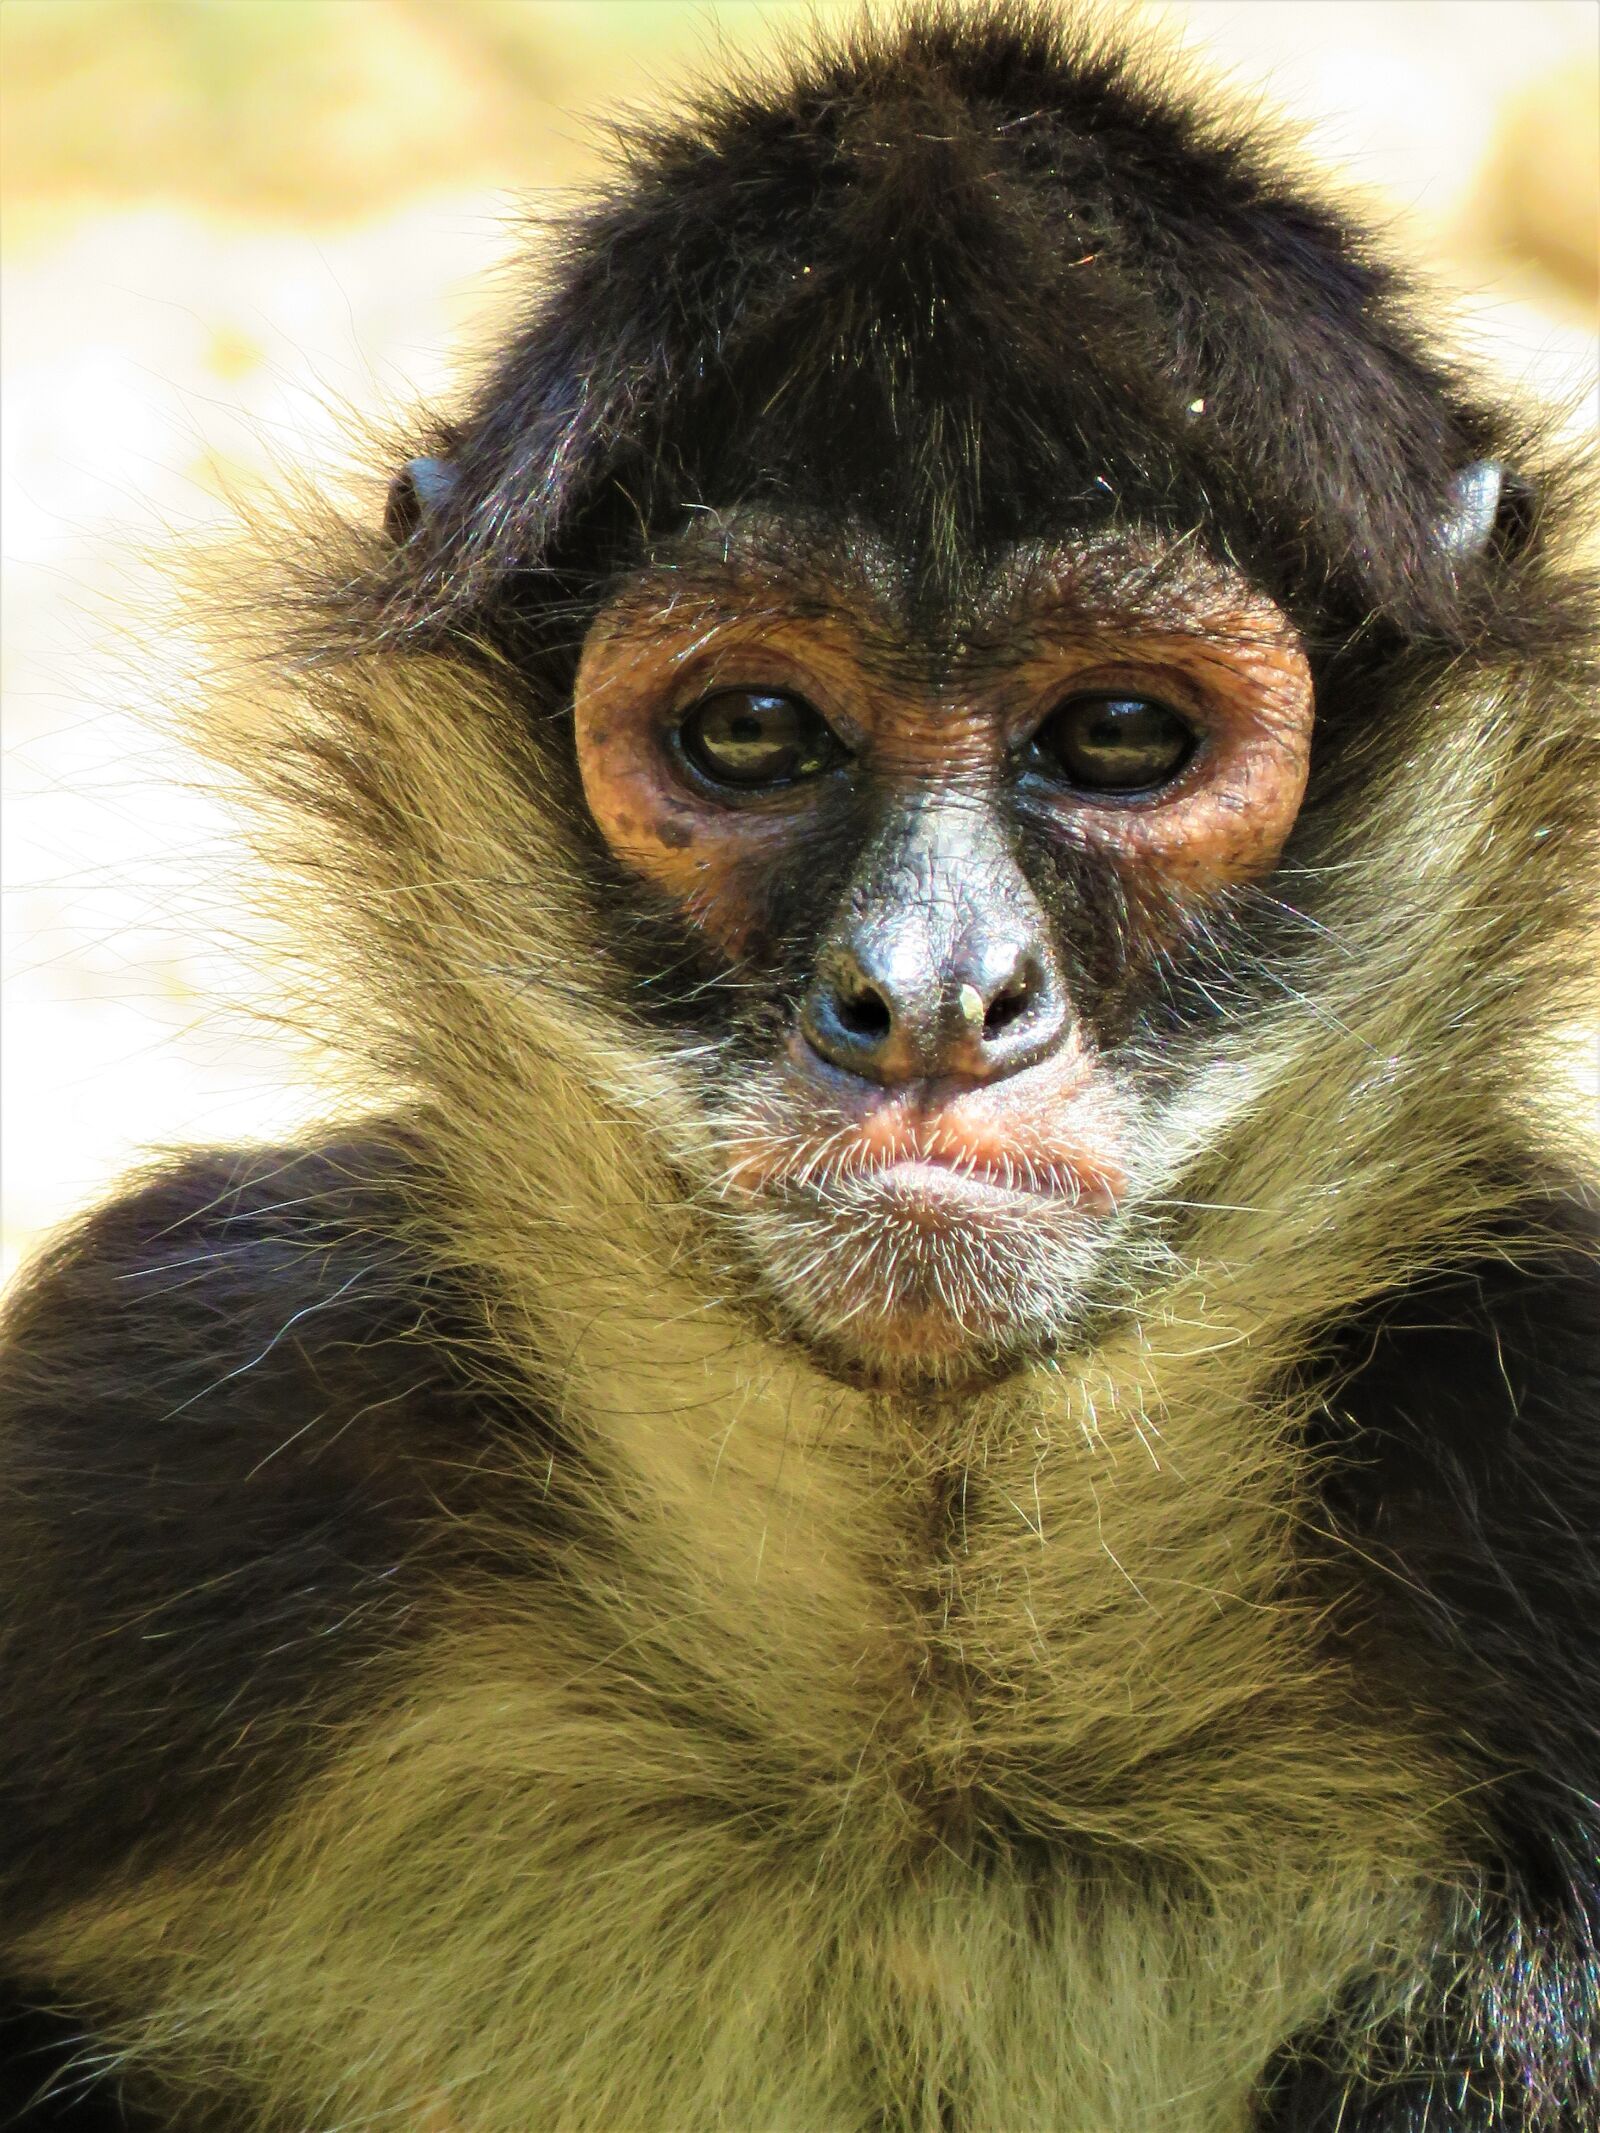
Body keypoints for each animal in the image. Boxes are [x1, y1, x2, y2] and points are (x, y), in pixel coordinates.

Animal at [1, 6, 1597, 2129]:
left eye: (1119, 737)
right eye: (753, 731)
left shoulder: (1538, 1447)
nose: (928, 994)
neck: (918, 1736)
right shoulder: (175, 1424)